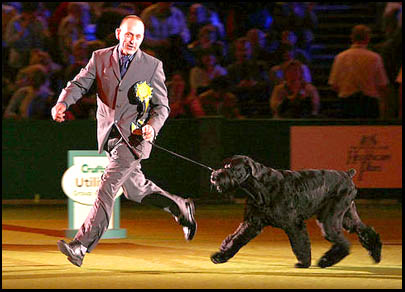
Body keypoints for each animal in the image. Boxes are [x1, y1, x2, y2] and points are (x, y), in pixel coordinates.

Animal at [210, 156, 380, 268]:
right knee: (364, 230)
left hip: (329, 218)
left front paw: (304, 263)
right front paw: (221, 256)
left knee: (343, 241)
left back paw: (325, 261)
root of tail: (347, 174)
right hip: (347, 216)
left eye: (230, 168)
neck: (260, 187)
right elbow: (236, 239)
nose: (214, 175)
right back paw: (376, 254)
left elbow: (300, 243)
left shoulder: (294, 223)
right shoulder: (252, 223)